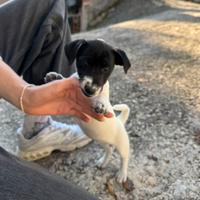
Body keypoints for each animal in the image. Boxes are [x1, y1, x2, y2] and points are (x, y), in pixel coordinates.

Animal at [46, 39, 132, 183]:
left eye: (105, 69)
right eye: (85, 62)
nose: (90, 90)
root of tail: (120, 121)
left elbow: (103, 97)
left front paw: (101, 104)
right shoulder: (68, 106)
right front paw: (56, 78)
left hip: (122, 144)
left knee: (124, 157)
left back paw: (122, 174)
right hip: (102, 141)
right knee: (109, 149)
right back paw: (103, 162)